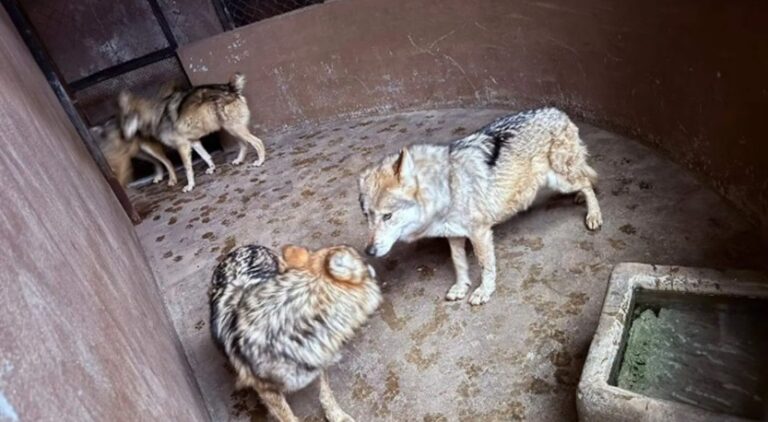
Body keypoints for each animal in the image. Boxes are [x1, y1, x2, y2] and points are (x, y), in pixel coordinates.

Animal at [117, 73, 267, 192]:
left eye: (126, 119)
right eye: (122, 120)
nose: (123, 136)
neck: (157, 115)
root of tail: (231, 87)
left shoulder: (182, 146)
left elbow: (188, 169)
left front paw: (190, 186)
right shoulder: (193, 142)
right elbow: (206, 156)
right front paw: (212, 168)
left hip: (234, 128)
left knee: (257, 142)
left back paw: (260, 161)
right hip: (232, 129)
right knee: (244, 144)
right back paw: (239, 160)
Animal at [209, 244, 381, 422]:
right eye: (363, 260)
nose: (369, 254)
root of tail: (242, 247)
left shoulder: (315, 360)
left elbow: (326, 394)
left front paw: (337, 416)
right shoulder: (267, 391)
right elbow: (288, 417)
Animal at [358, 107, 603, 305]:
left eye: (387, 216)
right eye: (368, 216)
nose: (368, 251)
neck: (447, 187)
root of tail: (559, 112)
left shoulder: (480, 232)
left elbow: (486, 266)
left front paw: (484, 291)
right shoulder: (454, 234)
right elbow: (459, 263)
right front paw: (461, 287)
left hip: (561, 180)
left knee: (587, 182)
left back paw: (593, 215)